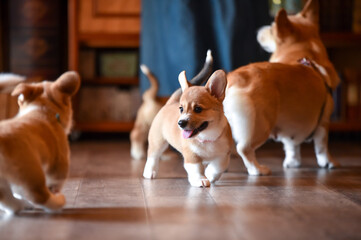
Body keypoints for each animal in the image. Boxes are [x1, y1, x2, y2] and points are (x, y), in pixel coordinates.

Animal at [0, 71, 79, 214]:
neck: (43, 109)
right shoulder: (59, 163)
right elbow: (56, 181)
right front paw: (55, 190)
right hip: (30, 171)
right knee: (38, 195)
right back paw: (57, 202)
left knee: (7, 200)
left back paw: (22, 204)